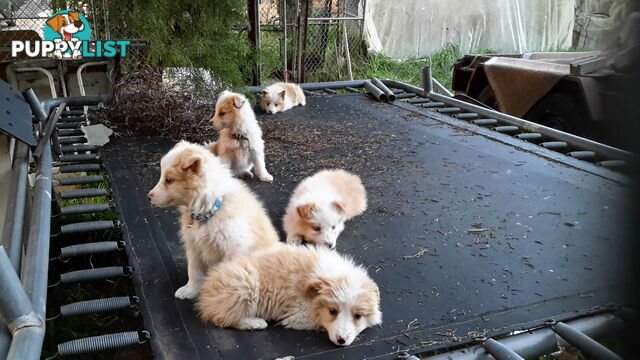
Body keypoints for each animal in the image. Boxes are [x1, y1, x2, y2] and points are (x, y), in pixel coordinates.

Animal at [198, 245, 382, 346]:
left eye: (358, 316)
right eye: (332, 311)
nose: (341, 340)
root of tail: (204, 294)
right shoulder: (299, 313)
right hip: (245, 283)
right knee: (222, 318)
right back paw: (256, 323)